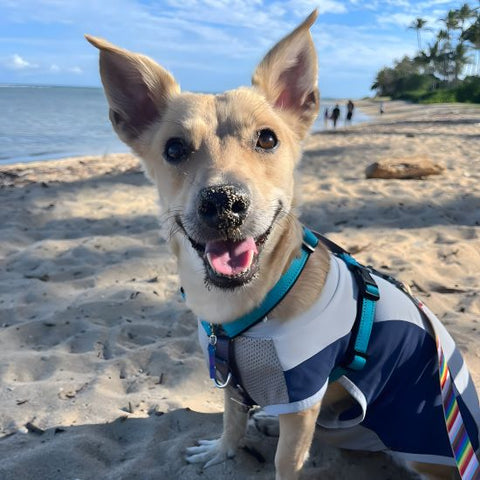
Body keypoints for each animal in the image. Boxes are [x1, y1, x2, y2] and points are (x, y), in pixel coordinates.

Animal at [87, 10, 480, 480]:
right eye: (175, 148)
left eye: (268, 139)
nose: (223, 202)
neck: (242, 308)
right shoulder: (230, 379)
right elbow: (232, 420)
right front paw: (224, 451)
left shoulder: (303, 389)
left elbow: (286, 460)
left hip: (417, 441)